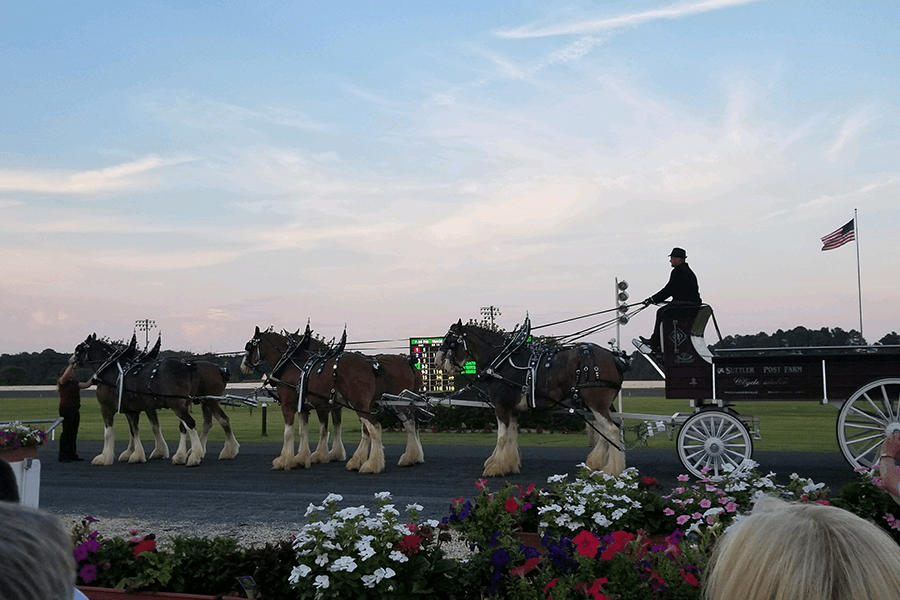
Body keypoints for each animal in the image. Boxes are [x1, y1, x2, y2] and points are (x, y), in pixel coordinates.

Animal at [73, 336, 239, 466]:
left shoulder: (106, 408)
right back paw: (222, 451)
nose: (72, 360)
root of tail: (189, 366)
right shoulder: (134, 409)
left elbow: (110, 433)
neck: (111, 370)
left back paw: (194, 455)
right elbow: (138, 430)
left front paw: (105, 457)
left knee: (192, 424)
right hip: (200, 402)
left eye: (79, 349)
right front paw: (138, 454)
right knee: (215, 421)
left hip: (183, 404)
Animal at [239, 324, 422, 474]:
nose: (243, 366)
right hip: (394, 404)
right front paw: (303, 458)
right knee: (408, 423)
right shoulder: (310, 407)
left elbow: (291, 432)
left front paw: (285, 460)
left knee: (375, 427)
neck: (291, 363)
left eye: (249, 346)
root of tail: (373, 365)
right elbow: (309, 431)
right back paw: (409, 457)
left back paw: (371, 465)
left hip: (362, 404)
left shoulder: (290, 405)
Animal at [436, 318, 624, 478]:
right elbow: (511, 436)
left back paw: (612, 470)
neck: (502, 361)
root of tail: (615, 359)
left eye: (450, 341)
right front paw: (508, 465)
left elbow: (502, 437)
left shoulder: (501, 406)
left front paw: (494, 467)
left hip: (596, 403)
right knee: (609, 429)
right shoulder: (512, 409)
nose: (438, 362)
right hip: (598, 405)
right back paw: (598, 463)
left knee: (612, 430)